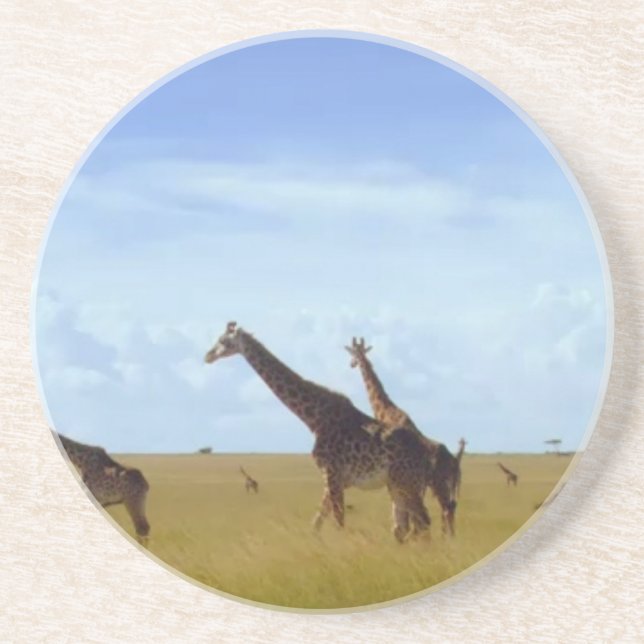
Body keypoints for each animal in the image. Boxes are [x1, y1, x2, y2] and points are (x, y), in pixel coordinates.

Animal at [204, 322, 435, 543]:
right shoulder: (333, 478)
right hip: (396, 484)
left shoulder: (331, 473)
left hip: (407, 482)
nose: (208, 356)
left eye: (223, 340)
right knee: (404, 527)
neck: (314, 418)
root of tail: (426, 453)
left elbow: (338, 522)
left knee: (422, 523)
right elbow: (316, 523)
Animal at [345, 337, 464, 536]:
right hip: (446, 484)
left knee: (447, 509)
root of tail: (455, 462)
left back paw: (449, 539)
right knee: (451, 507)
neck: (387, 412)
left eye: (353, 353)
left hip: (440, 483)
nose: (351, 364)